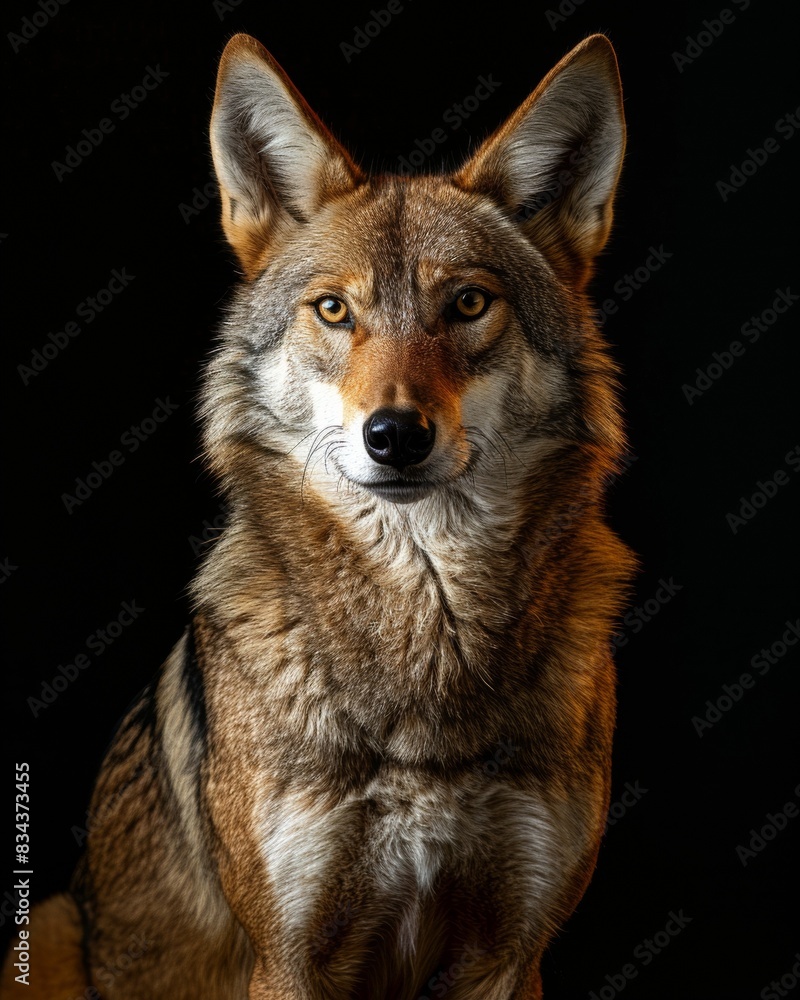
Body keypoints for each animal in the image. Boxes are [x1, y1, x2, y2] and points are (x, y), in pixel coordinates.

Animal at [2, 31, 634, 999]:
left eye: (468, 303)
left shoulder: (509, 955)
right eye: (335, 309)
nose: (396, 435)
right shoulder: (290, 957)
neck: (425, 648)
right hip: (47, 933)